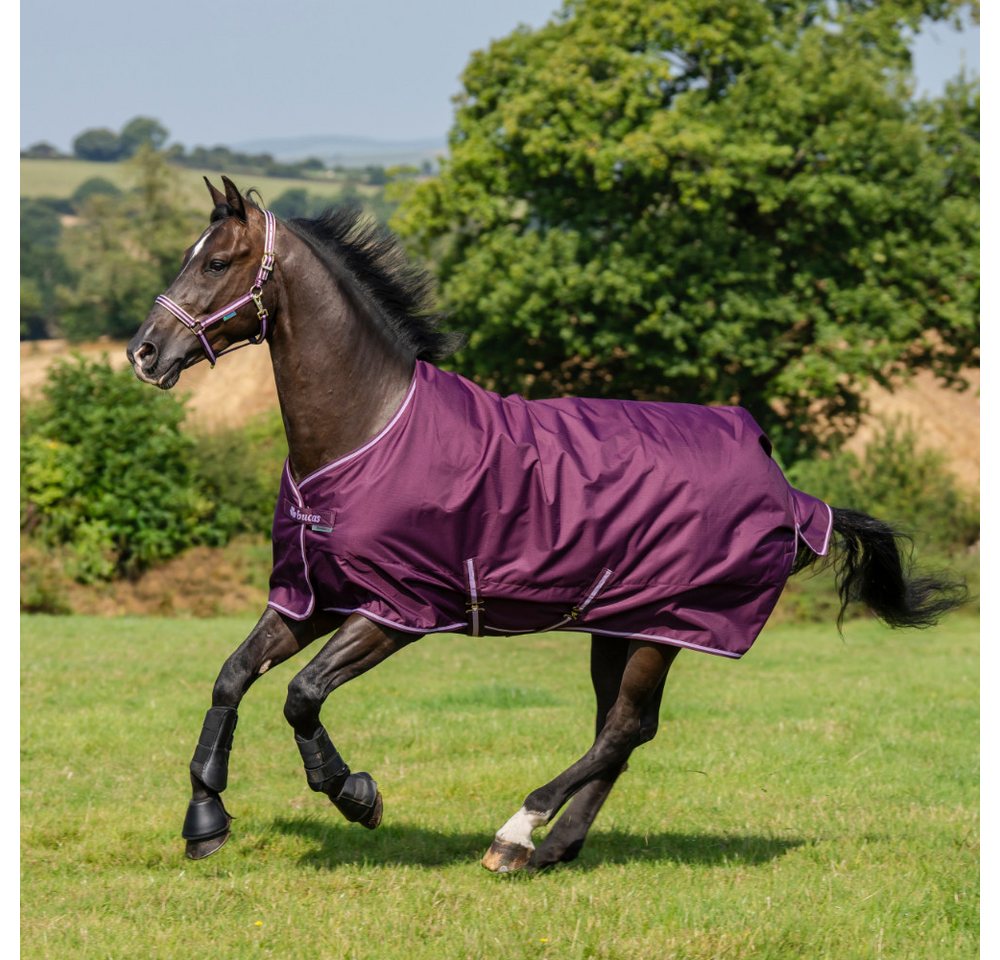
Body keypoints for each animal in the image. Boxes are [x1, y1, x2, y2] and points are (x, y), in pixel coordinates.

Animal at [126, 176, 964, 871]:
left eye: (217, 262)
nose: (144, 352)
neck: (366, 429)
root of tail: (792, 497)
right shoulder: (312, 598)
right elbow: (232, 677)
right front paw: (205, 821)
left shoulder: (395, 611)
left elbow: (301, 695)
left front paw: (355, 795)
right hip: (620, 626)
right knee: (621, 732)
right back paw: (553, 848)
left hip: (666, 627)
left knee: (621, 731)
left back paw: (517, 833)